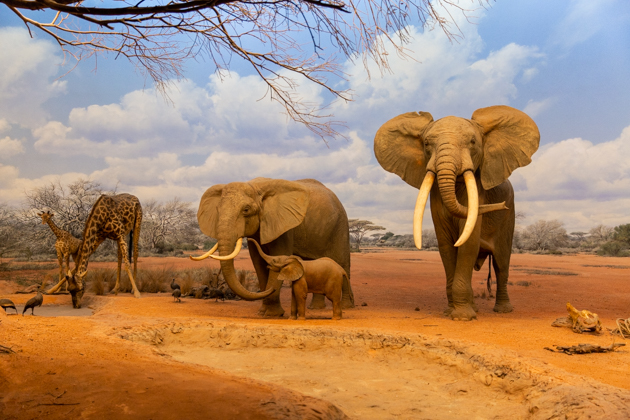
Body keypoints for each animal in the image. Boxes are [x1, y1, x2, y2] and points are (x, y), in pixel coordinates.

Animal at [191, 177, 356, 318]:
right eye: (218, 210)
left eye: (246, 209)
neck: (254, 187)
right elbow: (258, 262)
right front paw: (262, 313)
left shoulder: (284, 225)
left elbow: (278, 254)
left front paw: (272, 314)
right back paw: (315, 308)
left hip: (341, 224)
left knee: (342, 262)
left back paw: (346, 307)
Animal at [376, 106, 544, 322]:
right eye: (426, 144)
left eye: (473, 142)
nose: (502, 206)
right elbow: (446, 246)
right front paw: (451, 312)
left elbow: (468, 243)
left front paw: (462, 317)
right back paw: (476, 308)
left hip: (510, 216)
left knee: (501, 263)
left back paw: (503, 310)